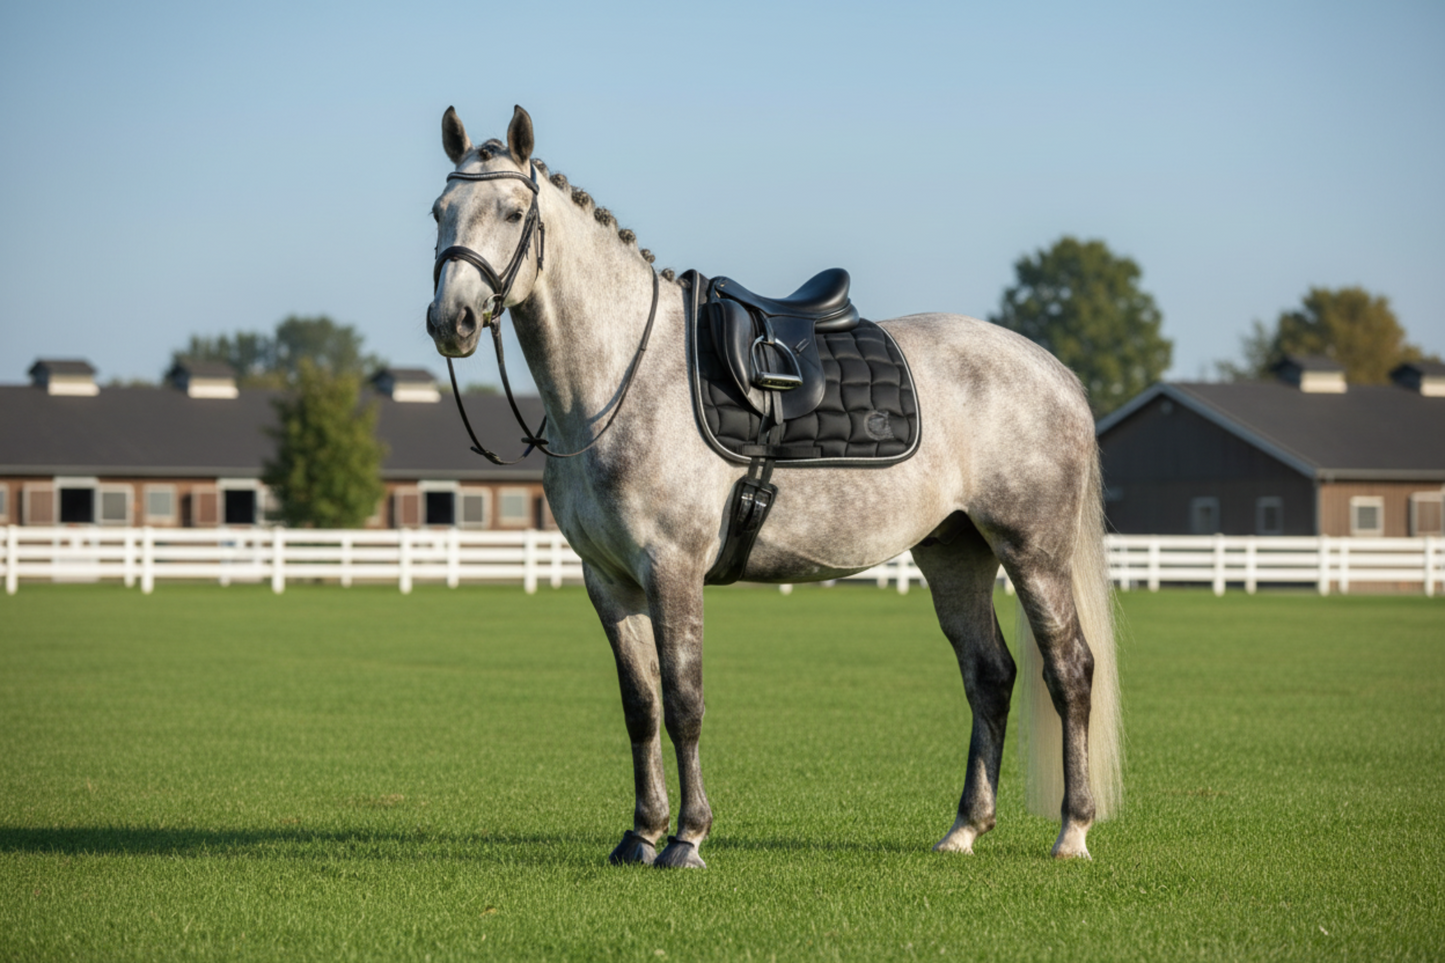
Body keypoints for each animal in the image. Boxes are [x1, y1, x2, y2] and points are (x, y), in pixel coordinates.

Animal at [424, 105, 1122, 867]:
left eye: (514, 211)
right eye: (438, 212)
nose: (451, 321)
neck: (620, 380)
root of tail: (1052, 370)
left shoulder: (672, 568)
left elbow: (684, 701)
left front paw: (687, 837)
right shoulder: (607, 579)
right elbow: (641, 706)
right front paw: (641, 833)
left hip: (1033, 551)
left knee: (1070, 670)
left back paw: (1073, 830)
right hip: (953, 552)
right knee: (989, 675)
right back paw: (965, 827)